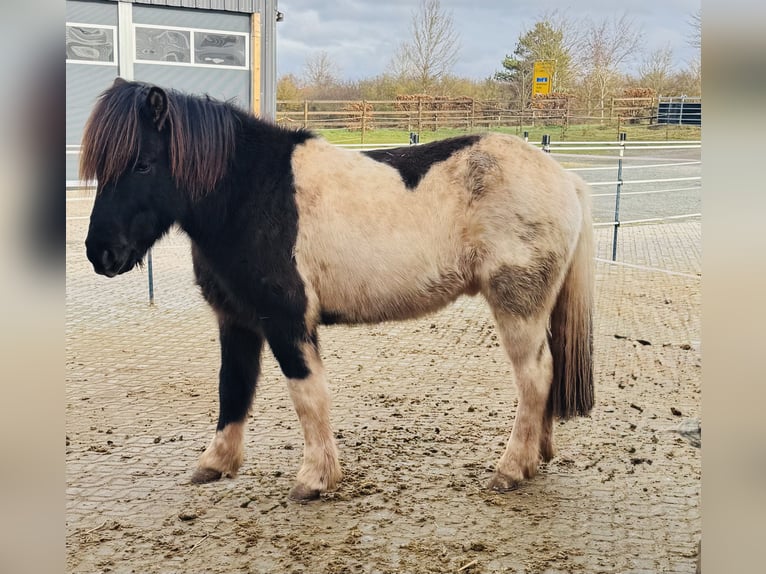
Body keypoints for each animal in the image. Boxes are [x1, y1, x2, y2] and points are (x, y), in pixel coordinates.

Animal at [81, 78, 594, 502]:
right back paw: (537, 457)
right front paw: (216, 463)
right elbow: (233, 387)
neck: (252, 194)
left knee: (535, 377)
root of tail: (566, 179)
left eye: (143, 165)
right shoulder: (236, 320)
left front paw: (314, 479)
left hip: (517, 306)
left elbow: (308, 396)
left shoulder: (286, 320)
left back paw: (510, 469)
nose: (100, 254)